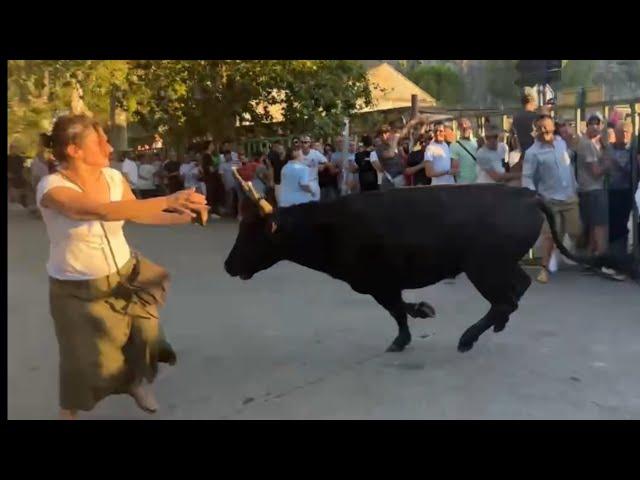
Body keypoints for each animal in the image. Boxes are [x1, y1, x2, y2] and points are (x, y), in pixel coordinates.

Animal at [226, 184, 604, 352]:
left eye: (252, 234)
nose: (228, 265)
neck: (331, 224)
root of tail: (528, 194)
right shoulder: (381, 283)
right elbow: (398, 308)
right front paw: (413, 322)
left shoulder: (378, 282)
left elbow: (398, 308)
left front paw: (412, 325)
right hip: (497, 266)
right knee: (516, 291)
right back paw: (495, 327)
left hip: (484, 267)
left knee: (506, 298)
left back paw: (468, 338)